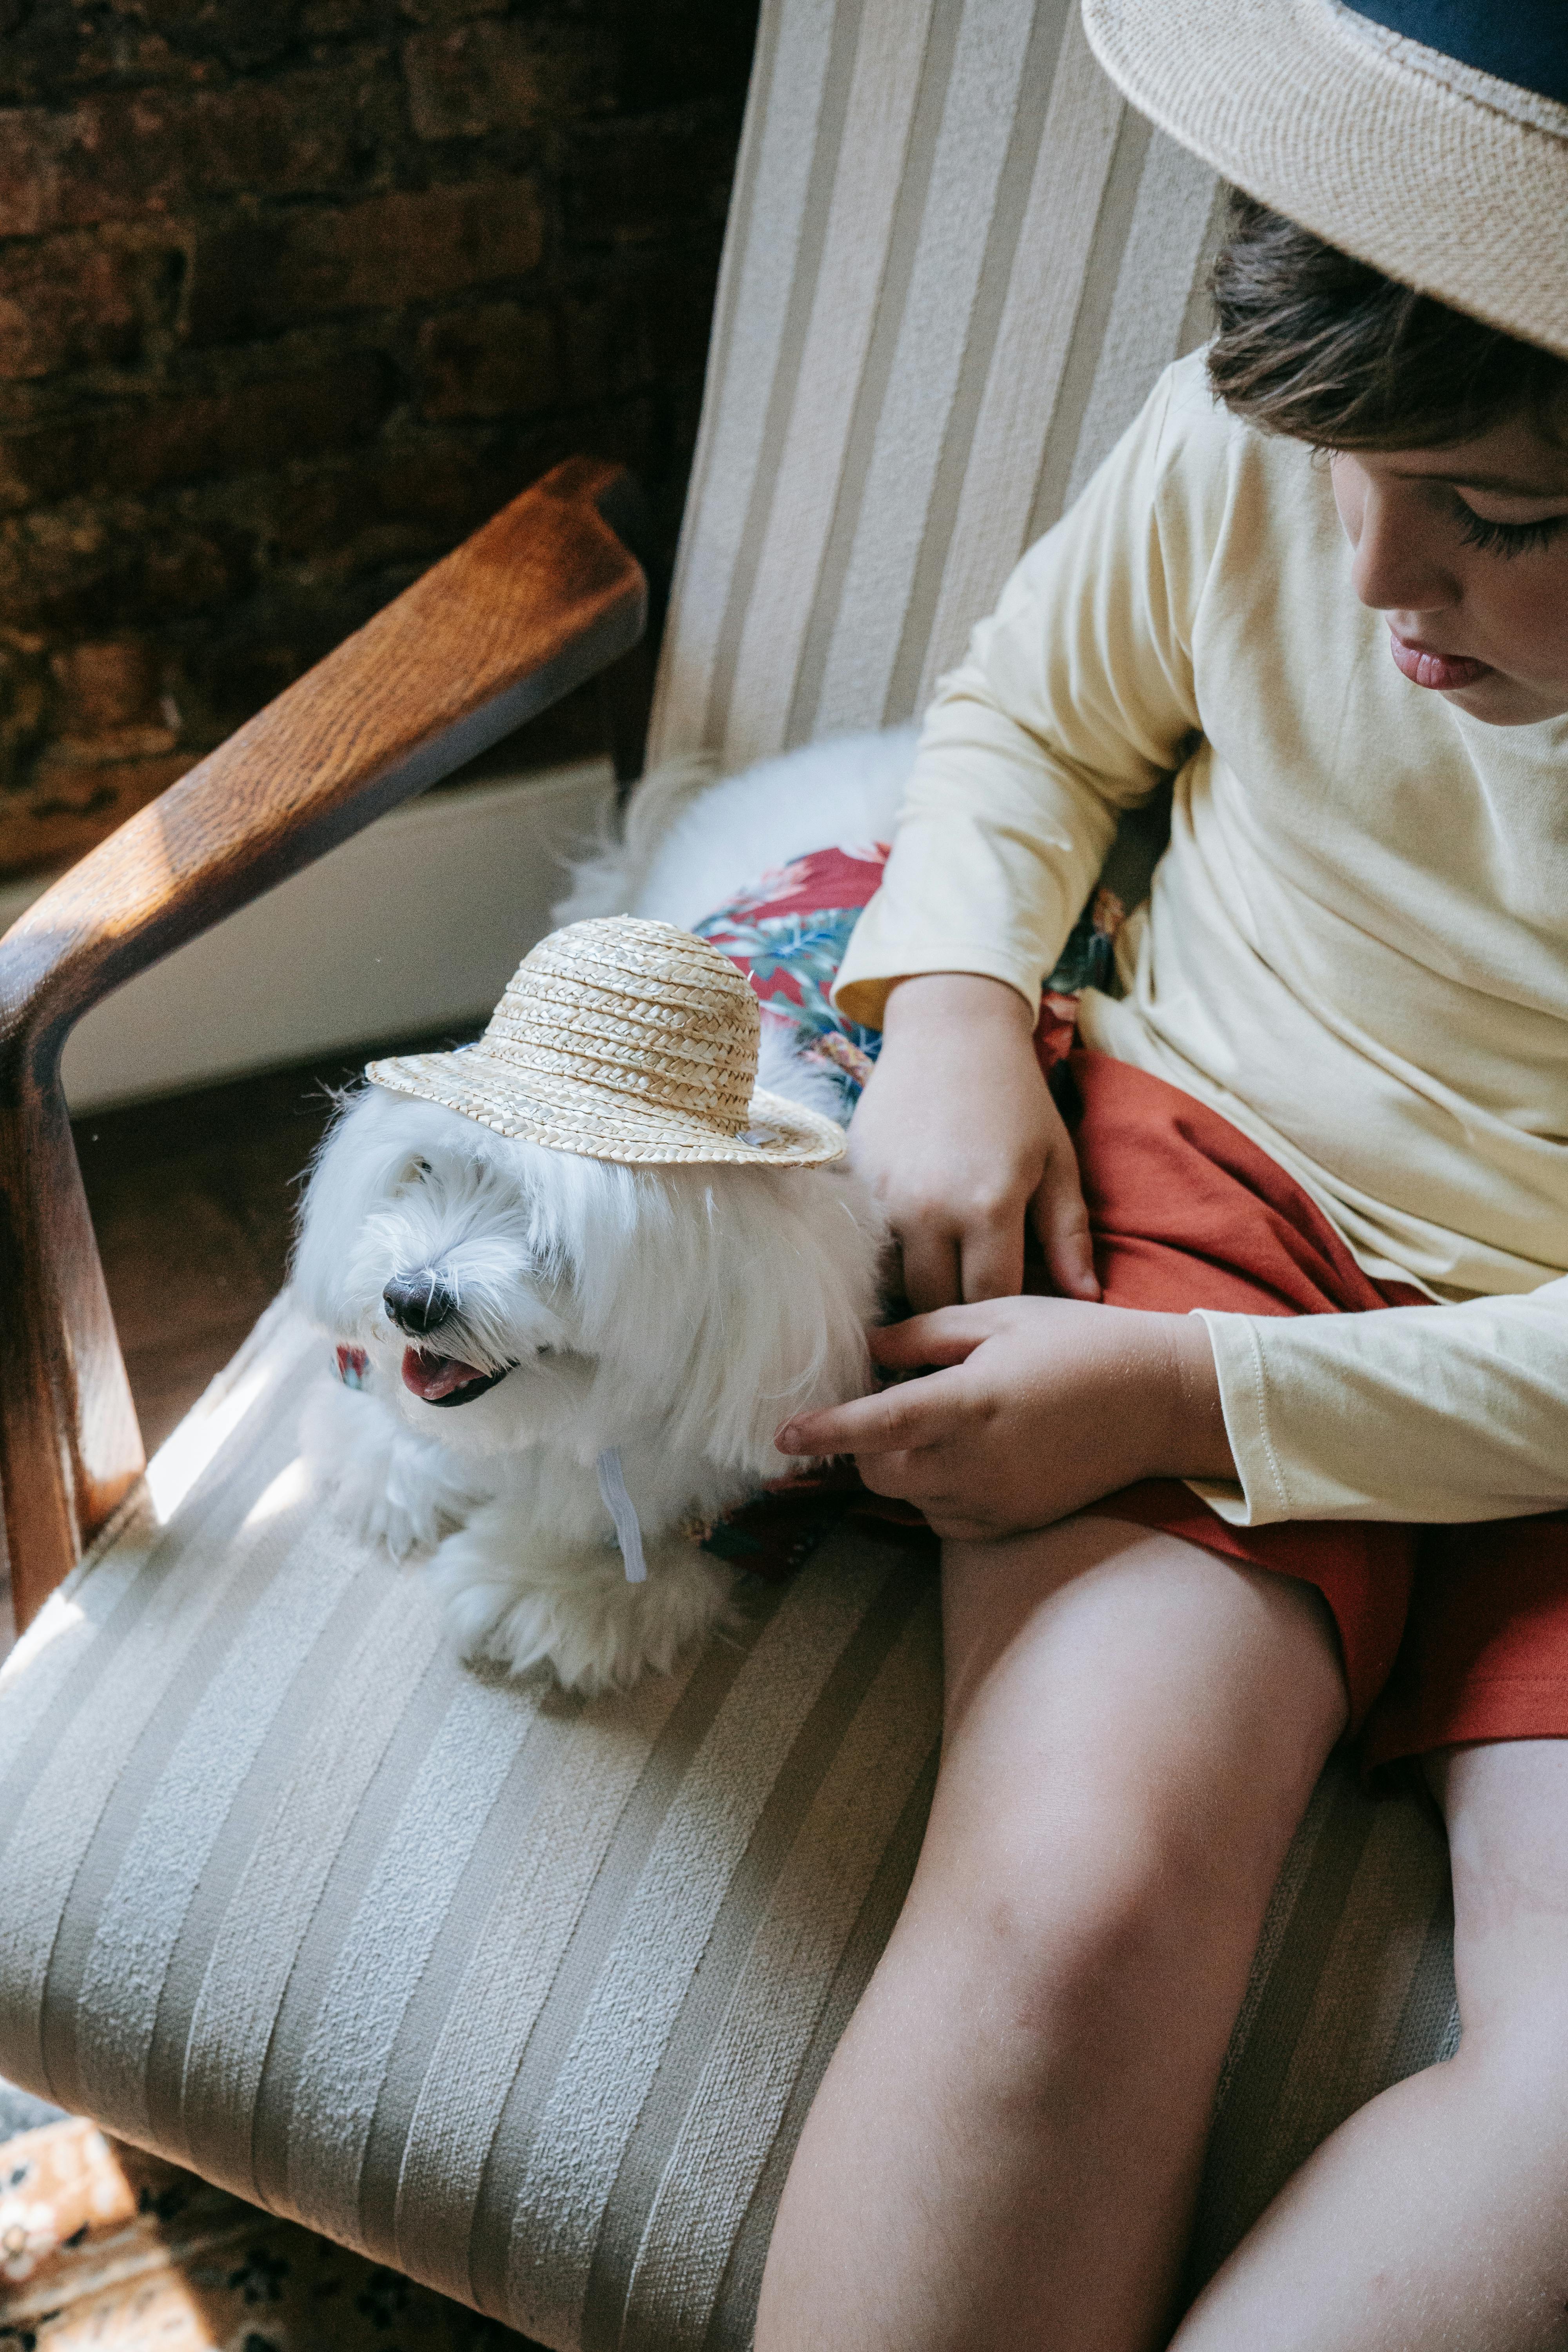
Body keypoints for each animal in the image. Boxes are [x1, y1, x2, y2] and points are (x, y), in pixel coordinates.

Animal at [294, 889, 893, 1703]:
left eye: (550, 1237)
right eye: (425, 1170)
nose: (411, 1301)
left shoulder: (775, 1497)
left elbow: (652, 1540)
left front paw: (540, 1583)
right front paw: (396, 1453)